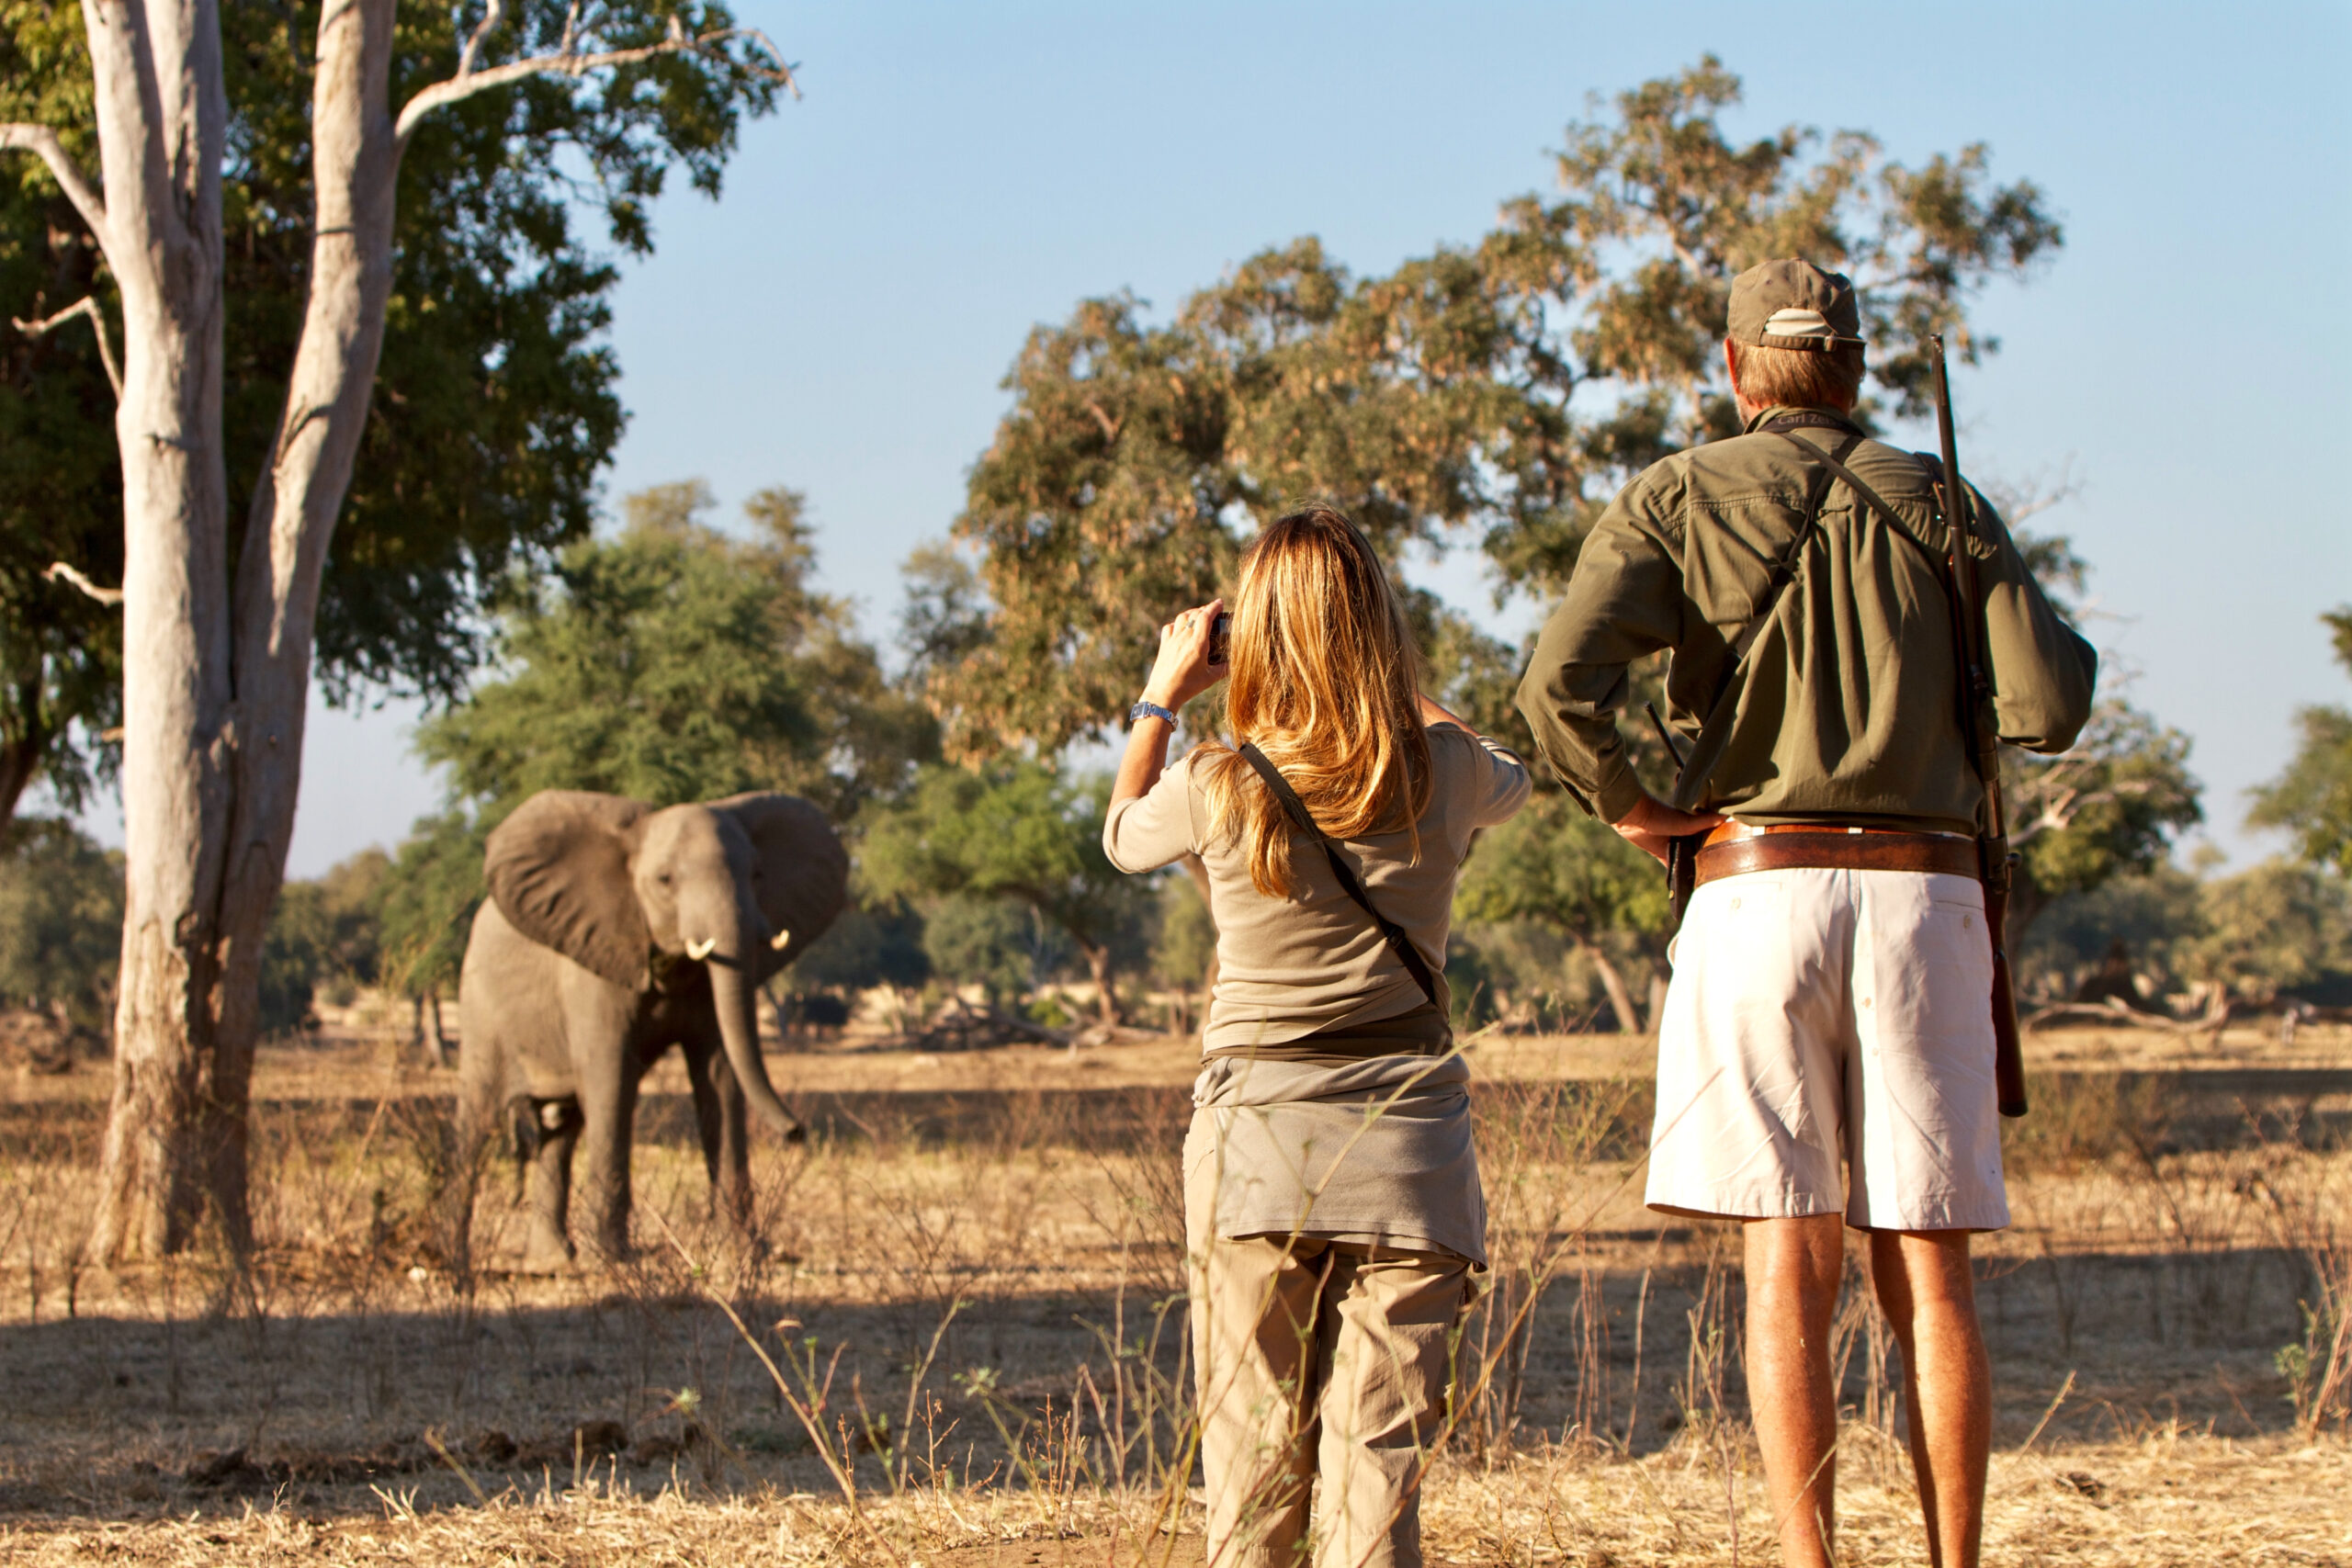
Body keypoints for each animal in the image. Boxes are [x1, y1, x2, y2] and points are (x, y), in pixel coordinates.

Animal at [454, 789, 851, 1269]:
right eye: (665, 881)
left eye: (757, 875)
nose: (796, 1132)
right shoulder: (596, 961)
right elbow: (611, 1082)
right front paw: (609, 1262)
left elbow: (721, 1077)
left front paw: (740, 1254)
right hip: (479, 1008)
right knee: (477, 1123)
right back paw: (454, 1257)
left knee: (560, 1130)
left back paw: (552, 1262)